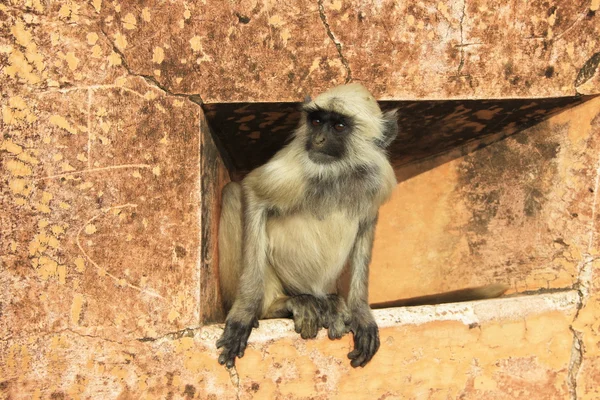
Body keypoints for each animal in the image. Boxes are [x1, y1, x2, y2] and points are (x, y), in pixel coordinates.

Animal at [216, 83, 506, 368]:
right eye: (316, 121)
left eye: (338, 126)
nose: (318, 140)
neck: (337, 172)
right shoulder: (293, 166)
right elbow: (252, 193)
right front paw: (244, 312)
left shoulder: (377, 179)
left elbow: (366, 224)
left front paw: (361, 312)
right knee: (232, 193)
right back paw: (277, 305)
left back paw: (331, 303)